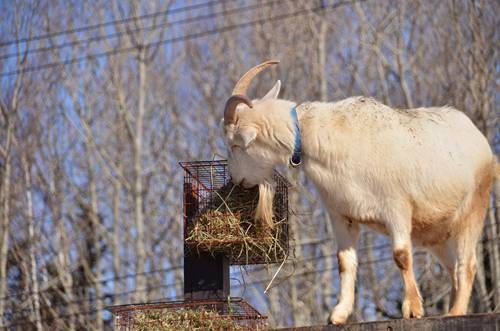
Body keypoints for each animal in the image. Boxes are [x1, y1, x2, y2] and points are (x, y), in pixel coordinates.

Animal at [225, 60, 498, 324]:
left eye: (236, 144)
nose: (237, 180)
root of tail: (479, 140)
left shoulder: (396, 207)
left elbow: (401, 255)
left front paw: (412, 309)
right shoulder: (341, 214)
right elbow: (345, 262)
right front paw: (338, 315)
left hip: (473, 208)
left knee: (467, 265)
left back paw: (455, 312)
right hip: (438, 233)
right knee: (452, 267)